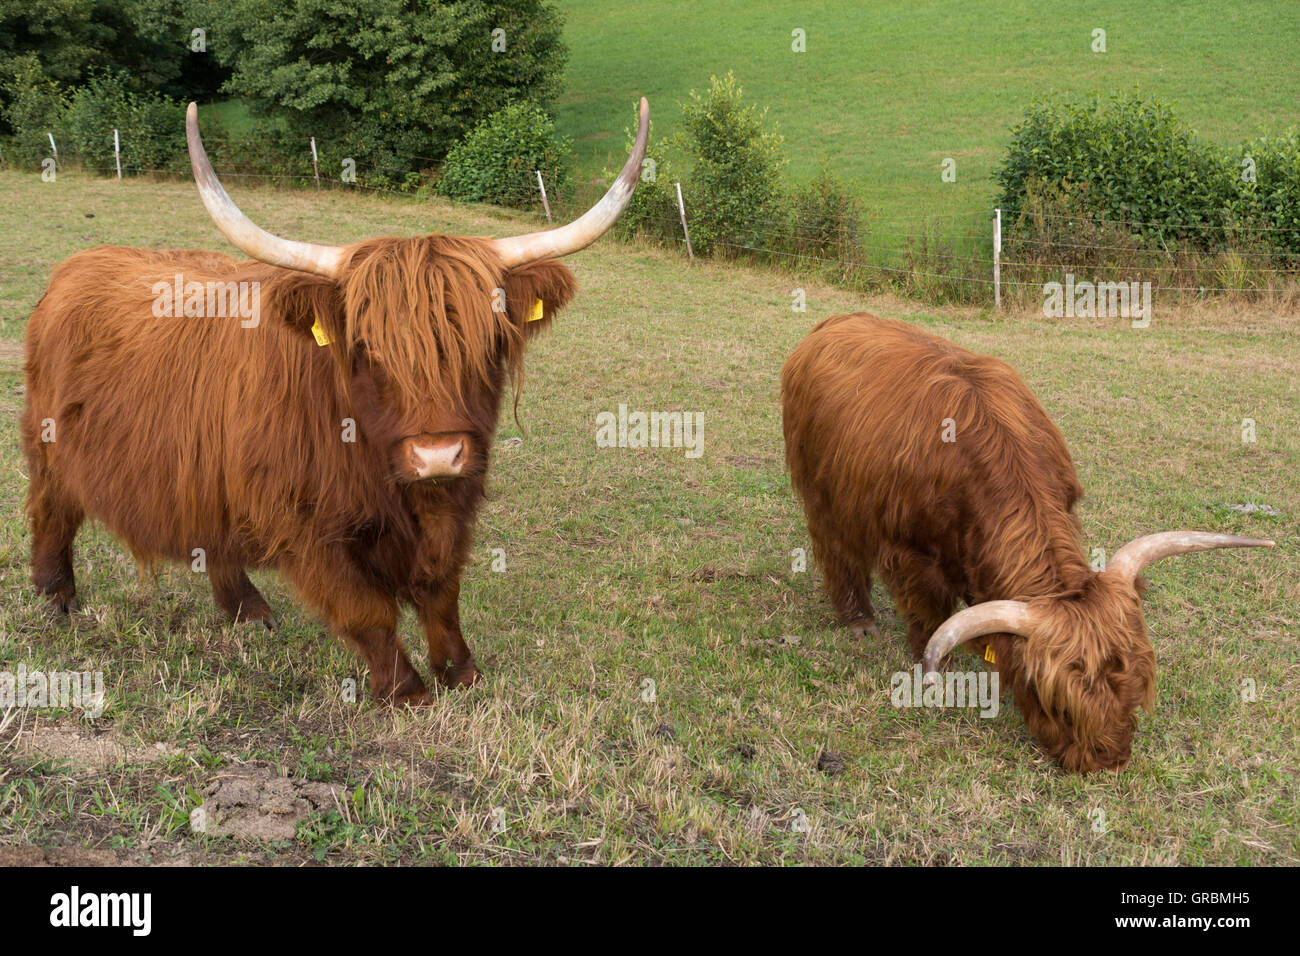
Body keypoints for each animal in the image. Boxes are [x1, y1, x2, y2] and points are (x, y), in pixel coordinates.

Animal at [21, 99, 649, 704]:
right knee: (52, 510)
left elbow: (441, 591)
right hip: (50, 445)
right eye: (367, 348)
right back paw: (58, 598)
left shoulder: (454, 502)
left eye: (488, 342)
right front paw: (406, 690)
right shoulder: (303, 522)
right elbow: (364, 609)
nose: (437, 455)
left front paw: (461, 672)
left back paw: (248, 612)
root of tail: (77, 265)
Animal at [780, 313, 1273, 772]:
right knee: (836, 553)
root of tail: (838, 321)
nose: (1106, 760)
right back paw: (859, 619)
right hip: (820, 495)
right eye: (1052, 702)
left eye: (1138, 686)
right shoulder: (910, 555)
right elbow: (929, 614)